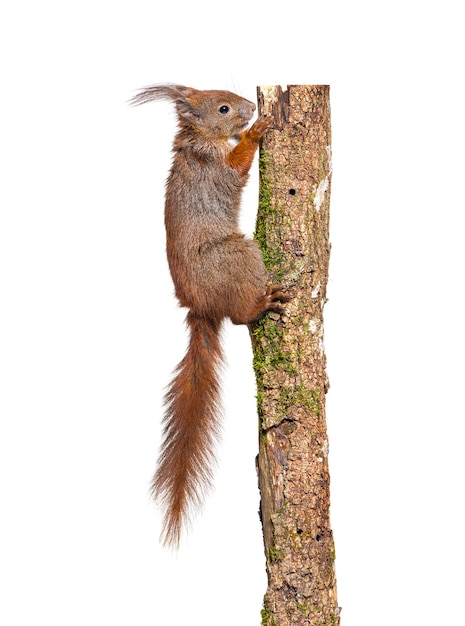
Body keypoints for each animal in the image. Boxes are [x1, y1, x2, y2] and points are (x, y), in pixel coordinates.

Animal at [129, 84, 284, 544]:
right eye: (224, 108)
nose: (250, 106)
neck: (198, 143)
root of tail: (198, 306)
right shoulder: (216, 171)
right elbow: (236, 166)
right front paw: (256, 130)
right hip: (239, 256)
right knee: (239, 318)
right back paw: (260, 304)